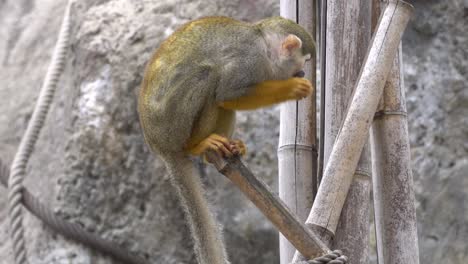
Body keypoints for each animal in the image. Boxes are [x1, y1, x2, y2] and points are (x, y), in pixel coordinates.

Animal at [137, 16, 316, 264]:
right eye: (304, 60)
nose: (302, 72)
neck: (265, 48)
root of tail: (158, 146)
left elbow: (229, 99)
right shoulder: (248, 59)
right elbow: (228, 92)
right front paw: (292, 88)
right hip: (170, 126)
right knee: (209, 76)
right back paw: (198, 144)